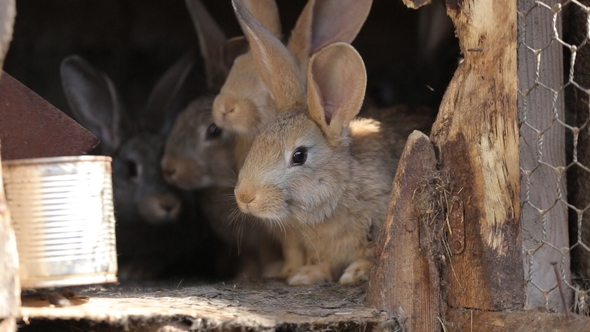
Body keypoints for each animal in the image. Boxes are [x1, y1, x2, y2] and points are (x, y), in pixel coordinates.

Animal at [231, 0, 434, 286]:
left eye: (299, 155)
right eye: (256, 143)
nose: (245, 196)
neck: (343, 187)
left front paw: (355, 273)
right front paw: (305, 276)